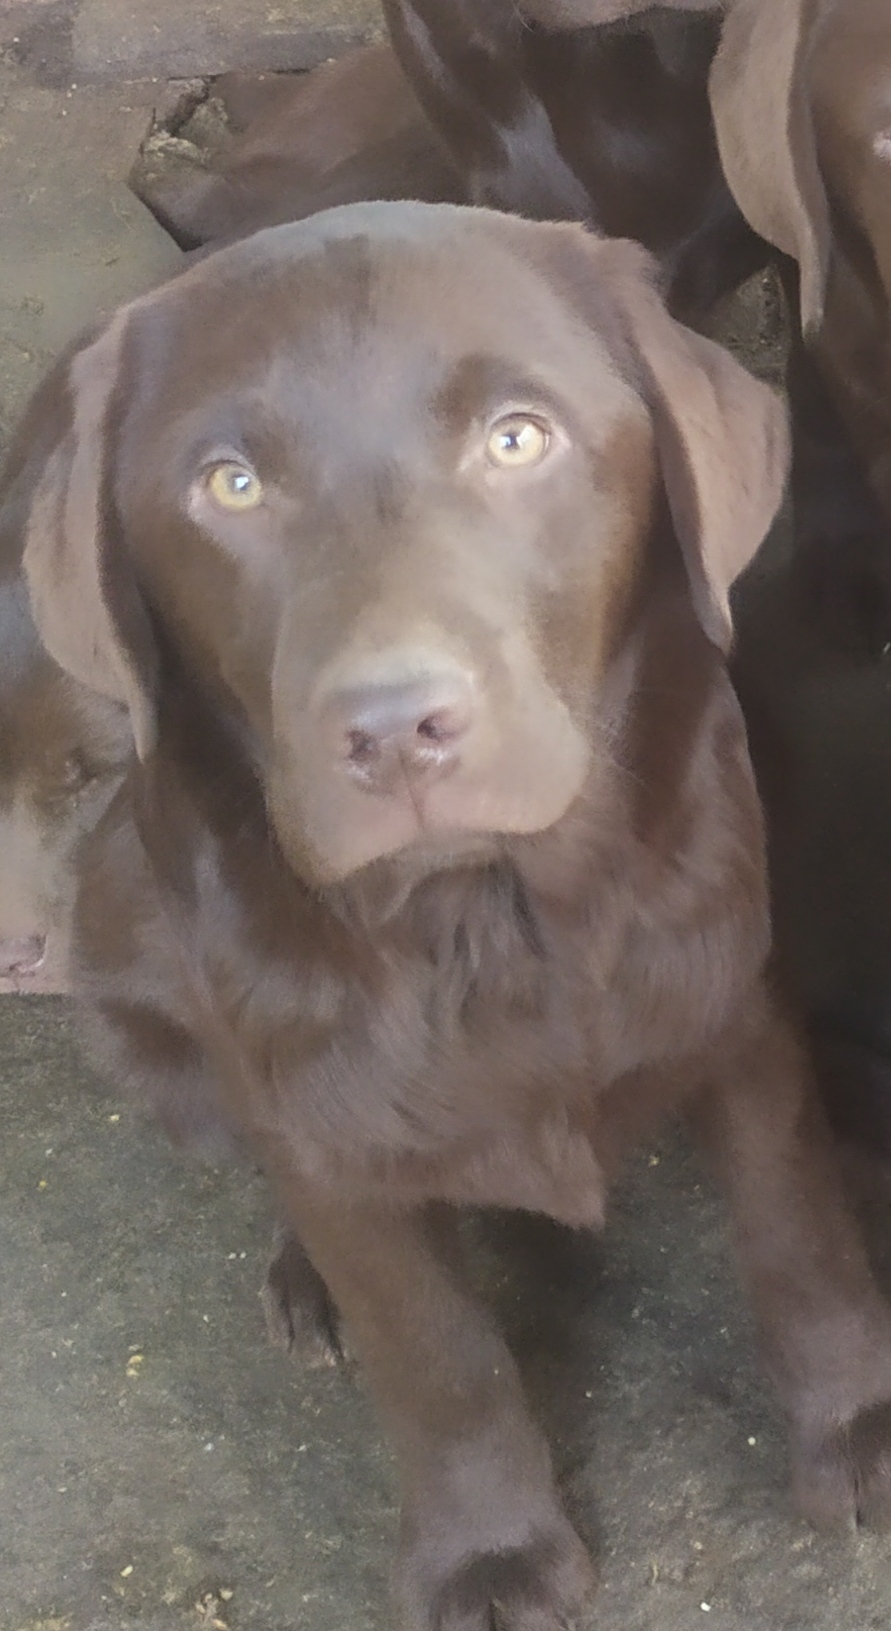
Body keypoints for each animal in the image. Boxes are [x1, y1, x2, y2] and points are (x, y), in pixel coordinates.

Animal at [20, 201, 891, 1628]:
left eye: (518, 438)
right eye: (229, 485)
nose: (392, 726)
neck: (495, 917)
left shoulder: (737, 1006)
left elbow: (794, 1220)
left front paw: (855, 1421)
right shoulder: (318, 1114)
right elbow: (435, 1352)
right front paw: (490, 1549)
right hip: (126, 983)